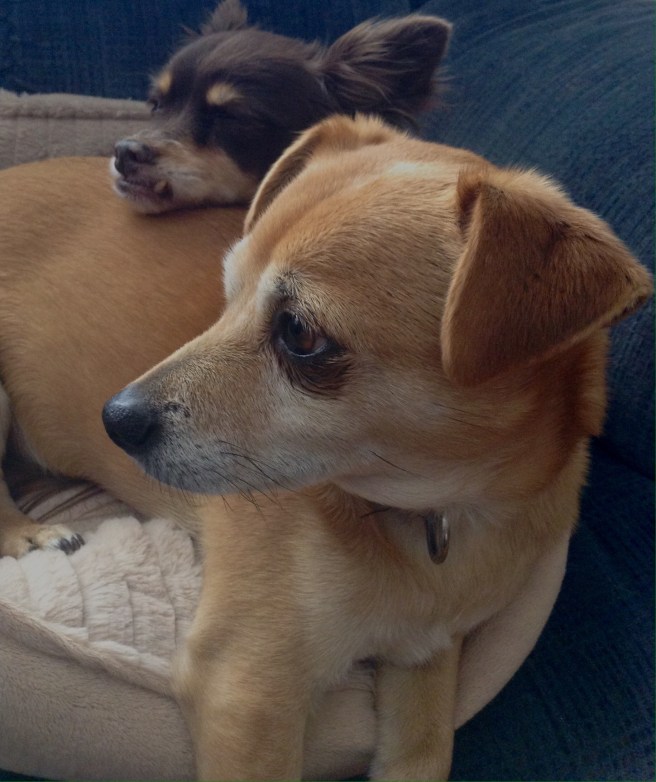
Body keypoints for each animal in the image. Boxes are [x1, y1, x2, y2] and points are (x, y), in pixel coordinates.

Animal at [100, 115, 652, 779]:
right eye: (227, 294)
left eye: (299, 333)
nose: (115, 419)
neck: (437, 513)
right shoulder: (247, 689)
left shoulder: (425, 657)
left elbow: (425, 751)